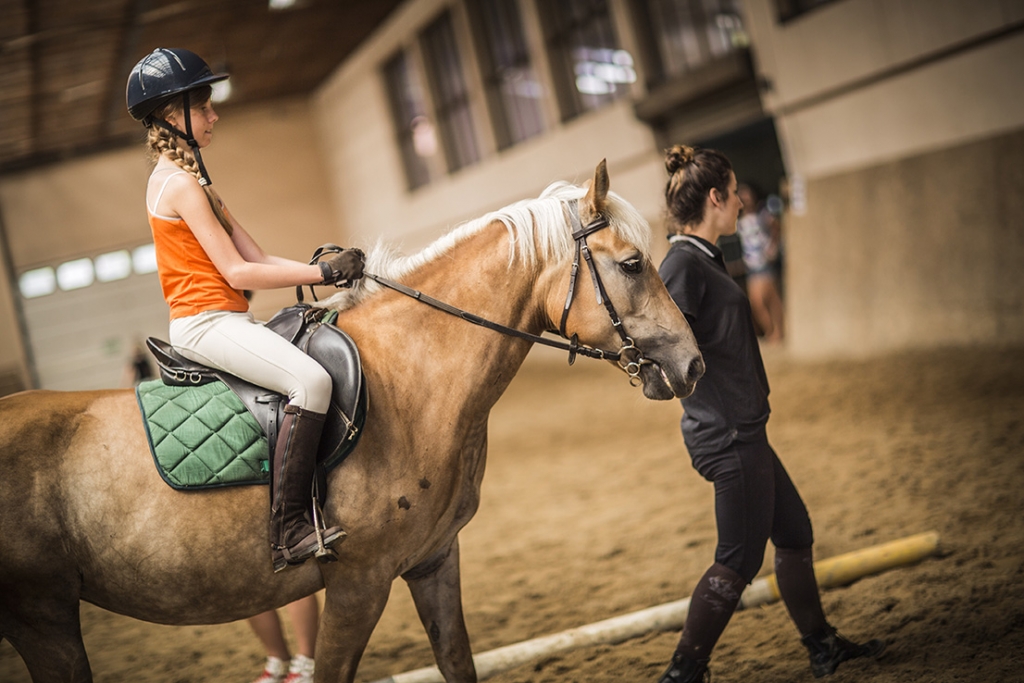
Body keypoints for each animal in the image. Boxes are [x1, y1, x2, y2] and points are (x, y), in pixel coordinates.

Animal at [0, 161, 704, 683]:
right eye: (633, 263)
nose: (692, 365)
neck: (409, 373)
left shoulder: (434, 559)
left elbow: (457, 662)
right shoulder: (358, 584)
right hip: (43, 613)